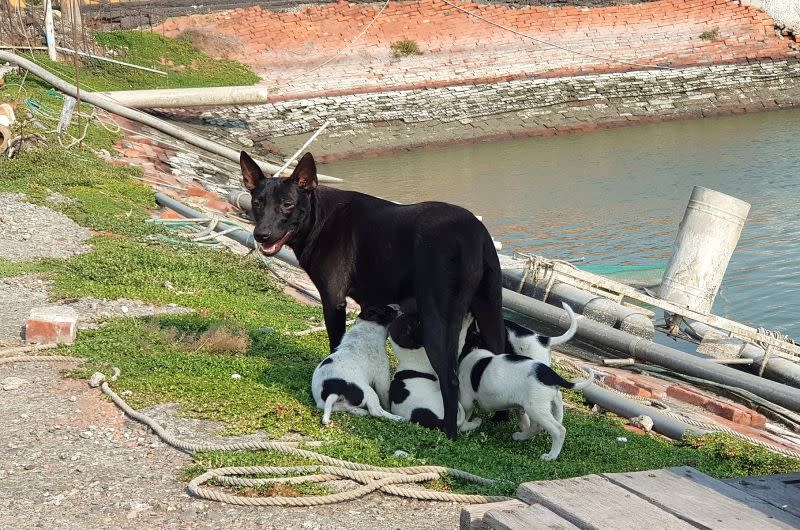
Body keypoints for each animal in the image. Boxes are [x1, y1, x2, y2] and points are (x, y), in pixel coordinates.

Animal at [242, 150, 506, 438]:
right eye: (257, 203)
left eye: (287, 204)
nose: (261, 235)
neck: (319, 217)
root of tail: (474, 234)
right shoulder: (371, 305)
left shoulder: (333, 301)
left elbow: (336, 344)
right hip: (490, 312)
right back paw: (500, 421)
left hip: (437, 321)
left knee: (450, 379)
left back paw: (450, 432)